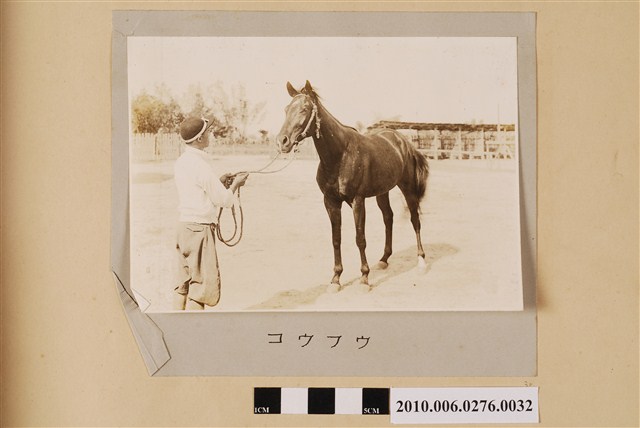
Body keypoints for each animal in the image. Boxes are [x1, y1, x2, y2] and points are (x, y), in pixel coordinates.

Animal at [276, 81, 429, 293]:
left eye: (304, 109)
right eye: (286, 109)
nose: (282, 141)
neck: (340, 155)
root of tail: (403, 141)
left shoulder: (358, 201)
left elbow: (360, 238)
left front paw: (364, 278)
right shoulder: (331, 202)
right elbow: (336, 239)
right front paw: (335, 279)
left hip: (407, 187)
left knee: (415, 220)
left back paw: (421, 261)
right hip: (383, 192)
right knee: (388, 218)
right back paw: (384, 259)